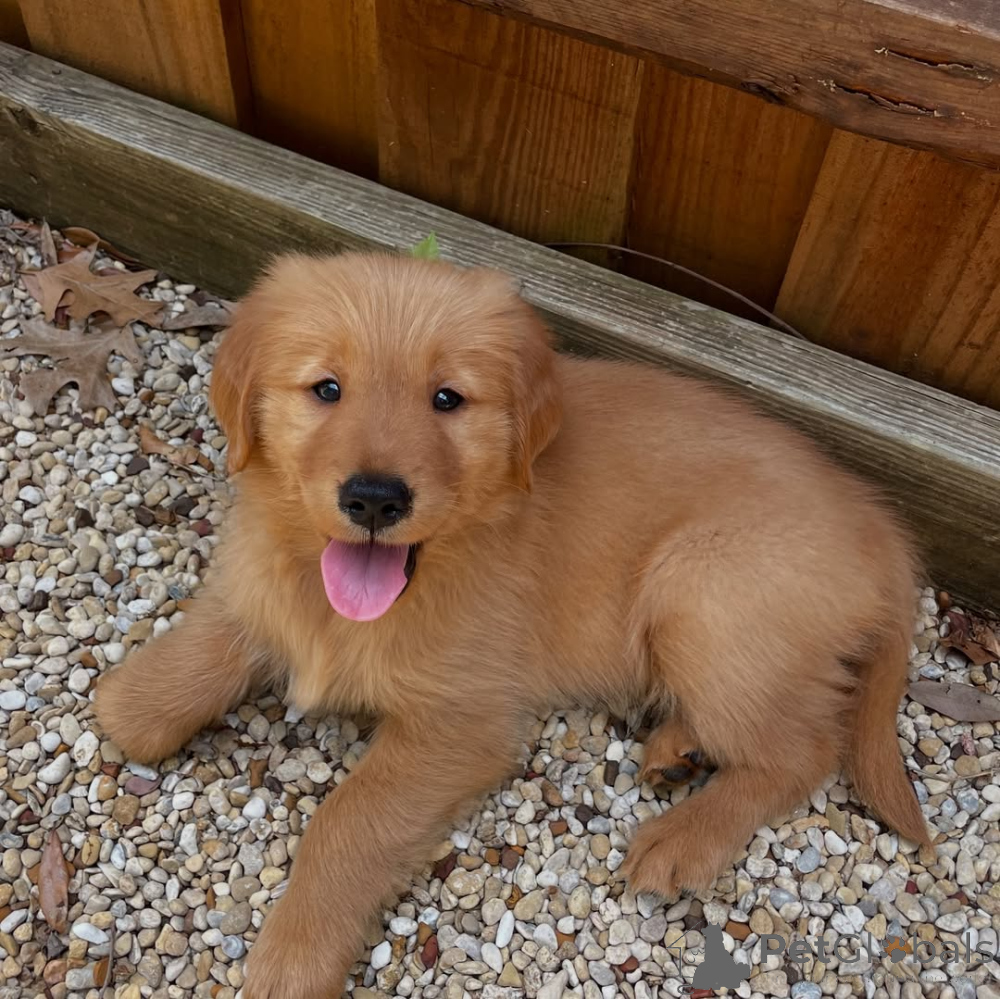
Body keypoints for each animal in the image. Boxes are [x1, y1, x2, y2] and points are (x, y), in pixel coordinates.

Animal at [95, 252, 930, 999]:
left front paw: (293, 957)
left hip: (702, 588)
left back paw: (686, 836)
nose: (374, 498)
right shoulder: (270, 588)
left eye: (447, 399)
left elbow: (346, 820)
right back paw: (679, 750)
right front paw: (135, 696)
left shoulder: (461, 720)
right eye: (325, 388)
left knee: (803, 749)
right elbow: (205, 650)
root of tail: (883, 530)